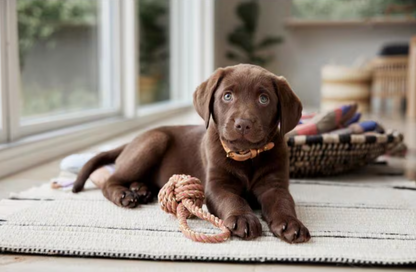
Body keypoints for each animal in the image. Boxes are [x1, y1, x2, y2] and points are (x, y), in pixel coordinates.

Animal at [73, 64, 310, 244]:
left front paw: (291, 224)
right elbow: (233, 199)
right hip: (154, 141)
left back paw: (142, 190)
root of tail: (129, 142)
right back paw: (125, 195)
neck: (246, 156)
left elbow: (283, 202)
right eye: (227, 96)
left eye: (263, 99)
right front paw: (243, 218)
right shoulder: (217, 186)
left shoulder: (274, 185)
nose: (243, 124)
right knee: (110, 180)